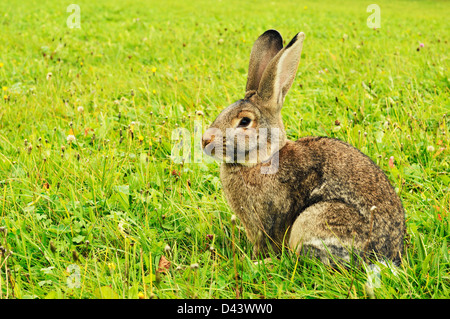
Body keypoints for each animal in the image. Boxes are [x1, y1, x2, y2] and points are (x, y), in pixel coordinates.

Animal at [202, 30, 406, 266]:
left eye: (244, 122)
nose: (205, 141)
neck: (264, 159)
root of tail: (385, 259)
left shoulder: (267, 222)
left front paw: (255, 261)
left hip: (316, 219)